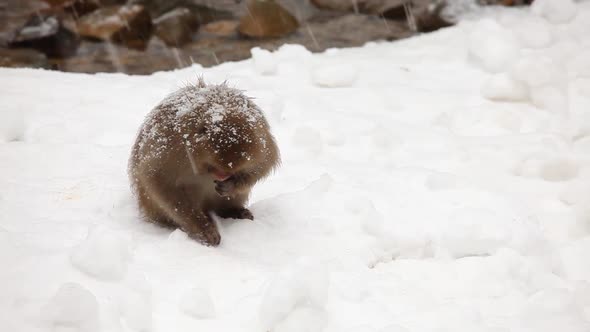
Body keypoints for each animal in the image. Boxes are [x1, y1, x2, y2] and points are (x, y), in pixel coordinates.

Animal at [128, 78, 280, 246]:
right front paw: (203, 228)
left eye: (230, 171)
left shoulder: (261, 137)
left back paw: (233, 210)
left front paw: (231, 185)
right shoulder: (172, 147)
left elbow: (264, 164)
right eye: (214, 167)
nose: (223, 177)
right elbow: (159, 180)